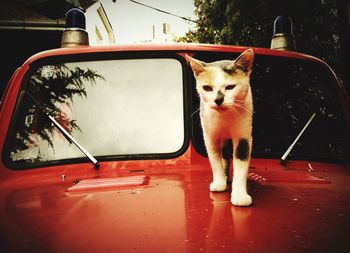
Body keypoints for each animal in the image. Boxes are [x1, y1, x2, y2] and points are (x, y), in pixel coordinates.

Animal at [187, 48, 256, 207]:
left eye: (230, 87)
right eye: (207, 88)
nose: (218, 100)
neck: (225, 118)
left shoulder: (244, 136)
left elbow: (241, 163)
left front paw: (239, 195)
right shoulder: (210, 136)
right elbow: (215, 160)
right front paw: (219, 182)